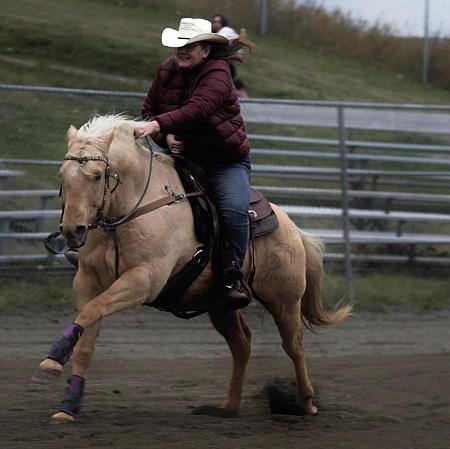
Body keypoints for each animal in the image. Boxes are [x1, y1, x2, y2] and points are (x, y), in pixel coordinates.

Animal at [34, 114, 352, 420]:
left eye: (97, 175)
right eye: (62, 175)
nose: (72, 230)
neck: (132, 210)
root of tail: (292, 227)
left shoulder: (144, 280)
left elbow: (90, 312)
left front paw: (54, 357)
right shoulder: (89, 281)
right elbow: (87, 329)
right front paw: (68, 403)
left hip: (284, 300)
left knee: (294, 345)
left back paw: (306, 403)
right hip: (221, 304)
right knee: (242, 345)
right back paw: (227, 407)